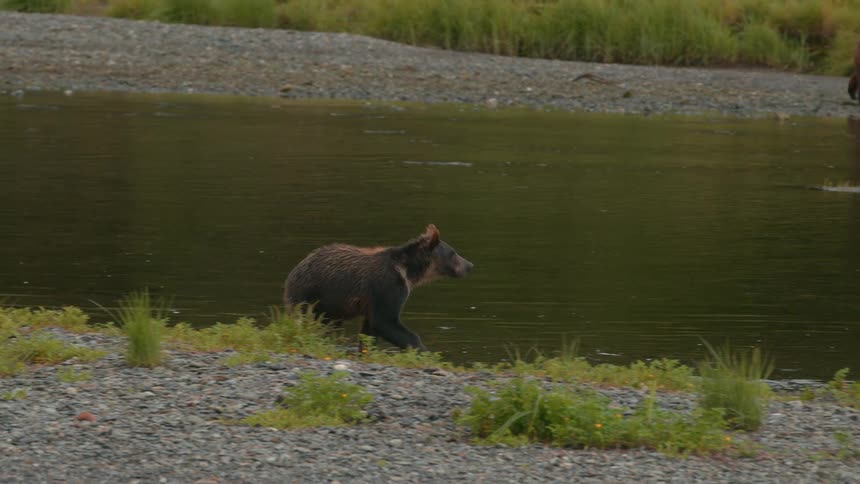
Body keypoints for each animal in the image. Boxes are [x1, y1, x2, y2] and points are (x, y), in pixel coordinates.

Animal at [284, 224, 473, 351]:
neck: (408, 271)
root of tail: (295, 269)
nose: (470, 265)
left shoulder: (371, 302)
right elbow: (385, 321)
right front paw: (422, 349)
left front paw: (365, 350)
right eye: (454, 253)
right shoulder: (387, 286)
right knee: (307, 320)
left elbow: (370, 329)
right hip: (312, 294)